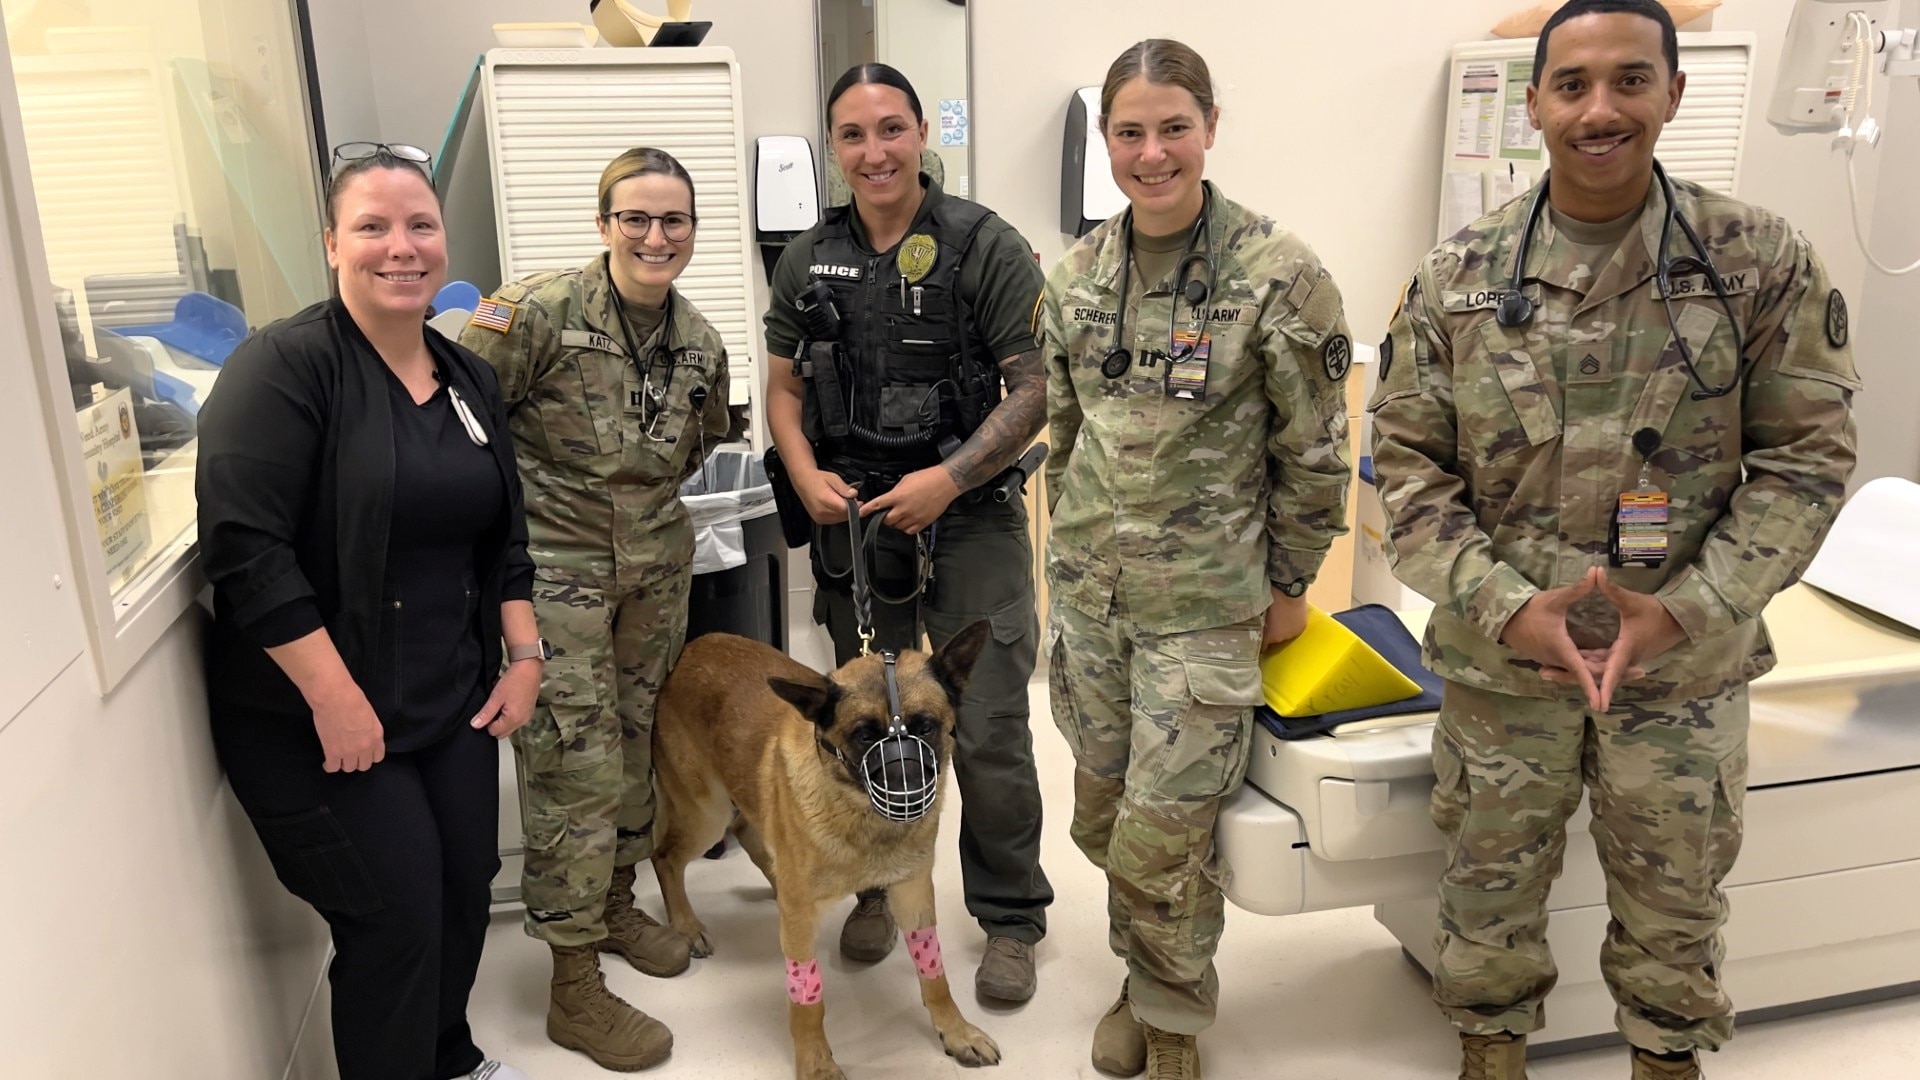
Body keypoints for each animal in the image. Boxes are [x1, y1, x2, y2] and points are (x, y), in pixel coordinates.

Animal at [648, 618, 998, 1076]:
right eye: (864, 736)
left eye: (925, 727)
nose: (906, 790)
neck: (863, 820)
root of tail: (689, 650)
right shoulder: (802, 932)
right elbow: (807, 1002)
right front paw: (815, 1061)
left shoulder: (914, 893)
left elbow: (934, 974)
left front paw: (955, 1030)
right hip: (707, 814)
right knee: (664, 856)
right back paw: (687, 925)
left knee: (748, 833)